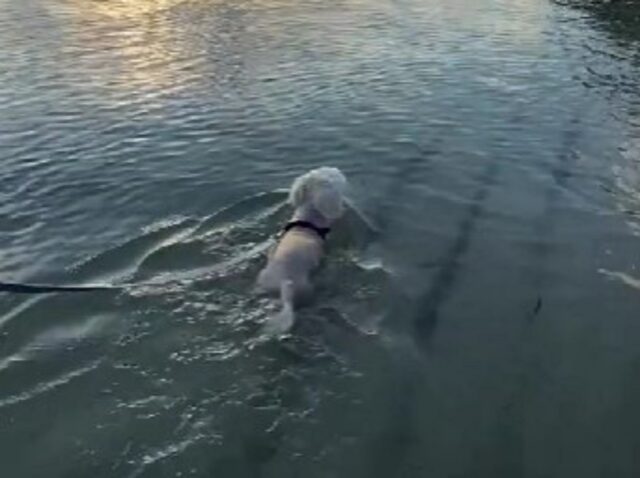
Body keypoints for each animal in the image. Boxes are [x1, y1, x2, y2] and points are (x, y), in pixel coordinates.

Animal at [256, 168, 348, 336]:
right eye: (331, 175)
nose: (338, 169)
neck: (307, 220)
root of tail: (284, 282)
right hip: (307, 289)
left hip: (265, 280)